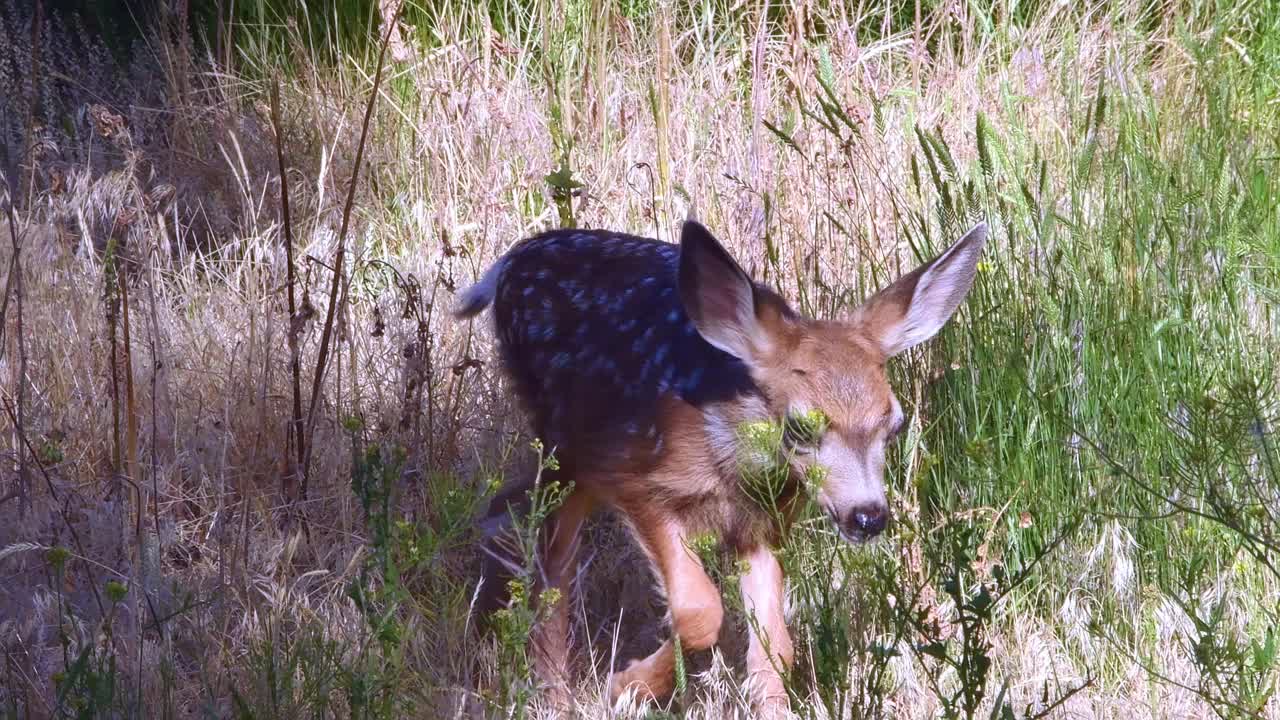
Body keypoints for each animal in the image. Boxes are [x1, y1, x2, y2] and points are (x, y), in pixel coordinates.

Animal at [455, 217, 983, 712]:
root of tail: (509, 262)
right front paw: (624, 686)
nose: (868, 516)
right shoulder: (636, 481)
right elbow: (698, 611)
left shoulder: (764, 526)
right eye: (800, 426)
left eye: (893, 424)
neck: (735, 464)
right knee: (549, 553)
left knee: (505, 509)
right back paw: (550, 691)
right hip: (573, 444)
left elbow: (776, 646)